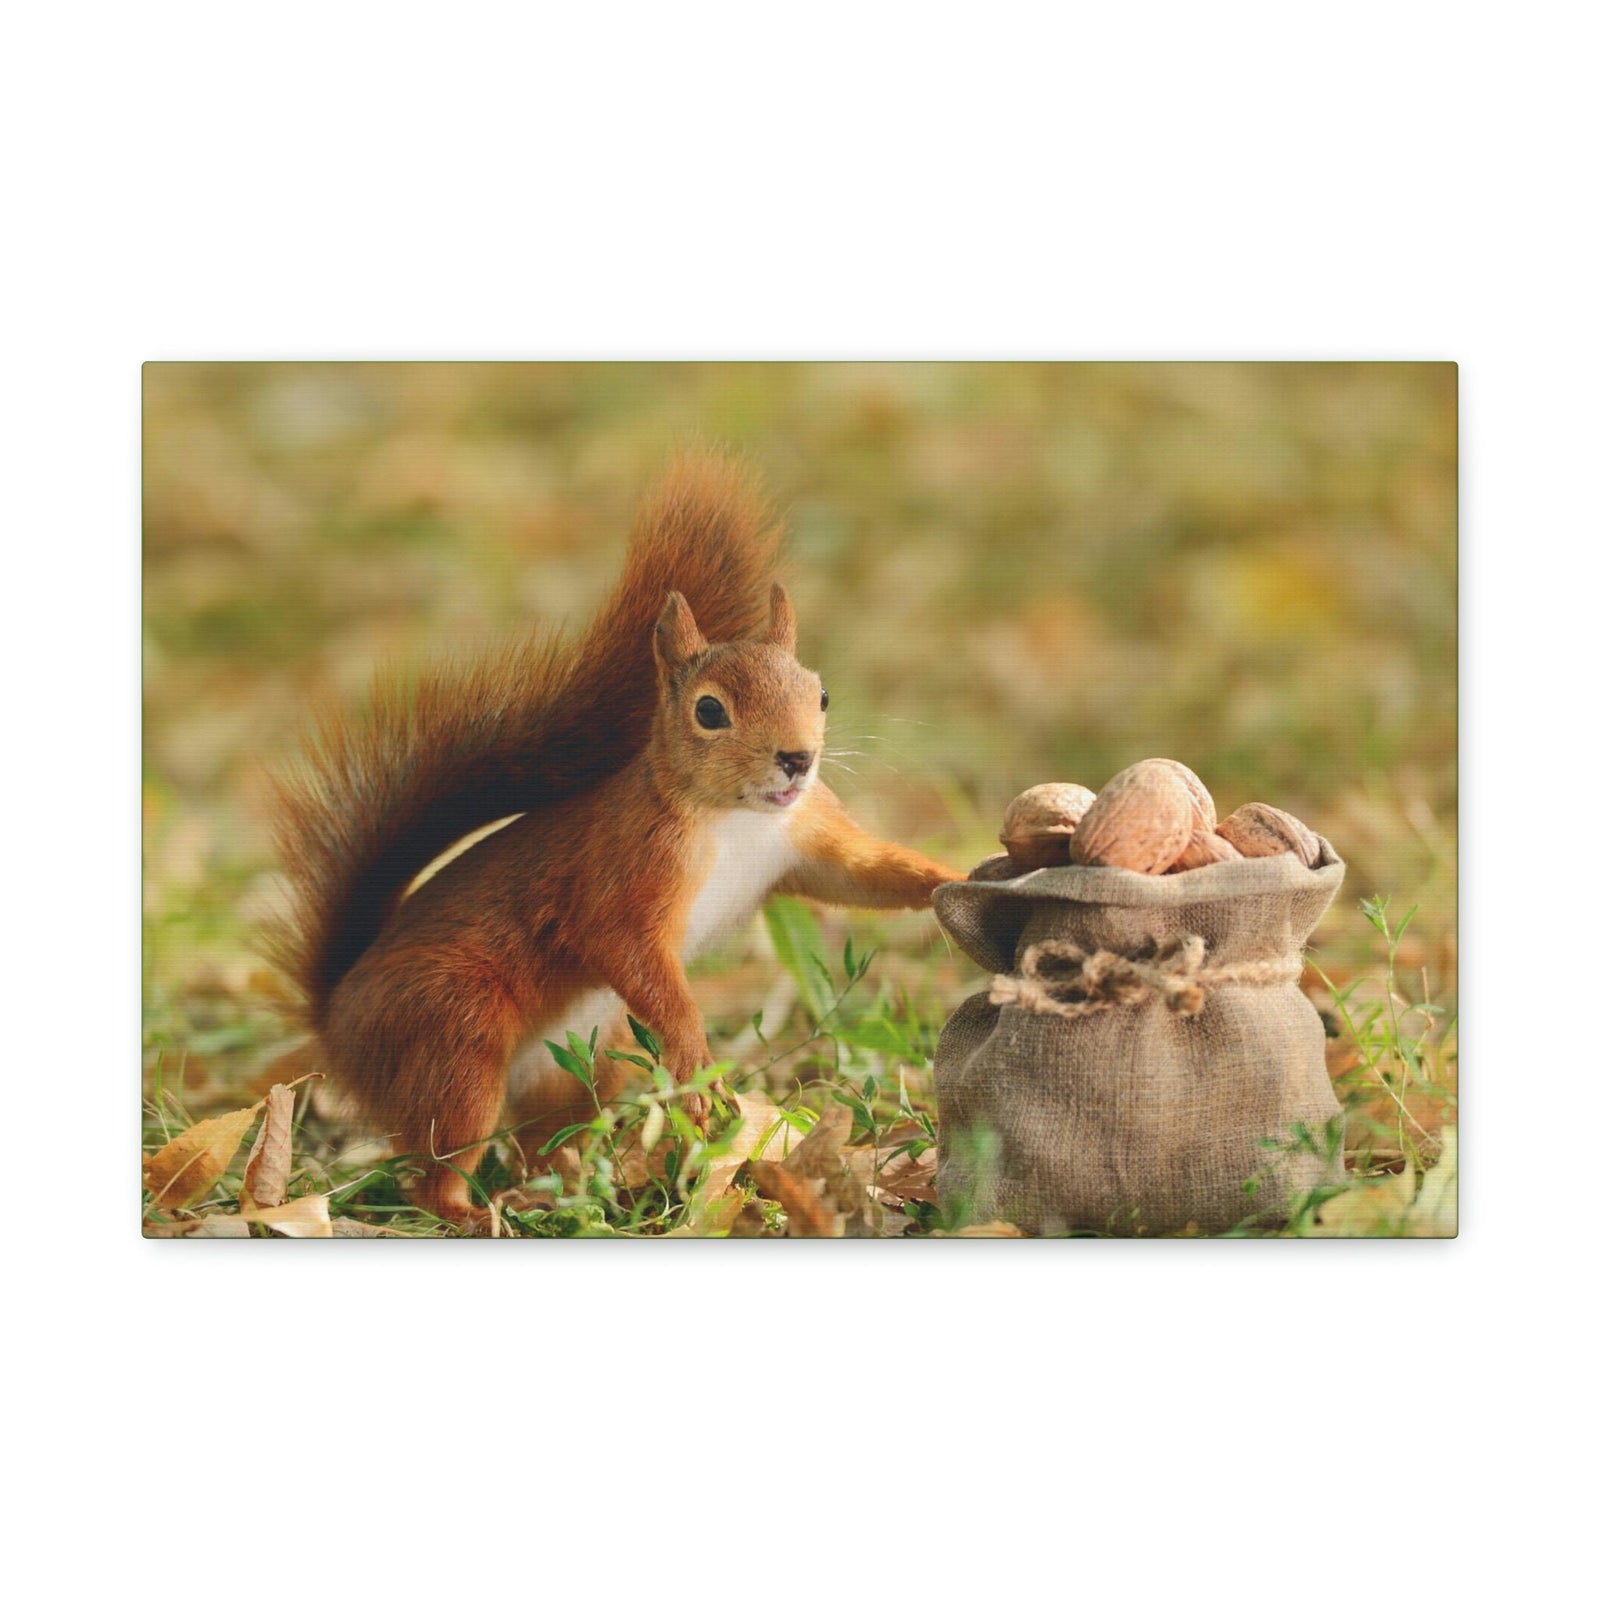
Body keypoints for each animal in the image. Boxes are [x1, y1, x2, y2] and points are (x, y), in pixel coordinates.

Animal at [272, 452, 963, 1224]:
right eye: (710, 711)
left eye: (820, 694)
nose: (797, 759)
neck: (738, 819)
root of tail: (336, 1020)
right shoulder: (626, 870)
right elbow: (626, 949)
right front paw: (698, 1067)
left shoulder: (806, 835)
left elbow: (864, 874)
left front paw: (958, 877)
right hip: (453, 1035)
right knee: (437, 1161)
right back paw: (474, 1212)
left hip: (572, 1070)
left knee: (545, 1140)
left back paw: (576, 1189)